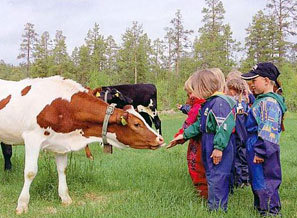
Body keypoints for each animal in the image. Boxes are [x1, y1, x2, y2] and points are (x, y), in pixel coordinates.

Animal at [0, 76, 162, 214]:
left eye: (143, 121)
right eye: (137, 124)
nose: (160, 139)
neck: (62, 106)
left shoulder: (61, 142)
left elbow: (62, 169)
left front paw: (65, 198)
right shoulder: (32, 138)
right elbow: (30, 172)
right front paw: (22, 204)